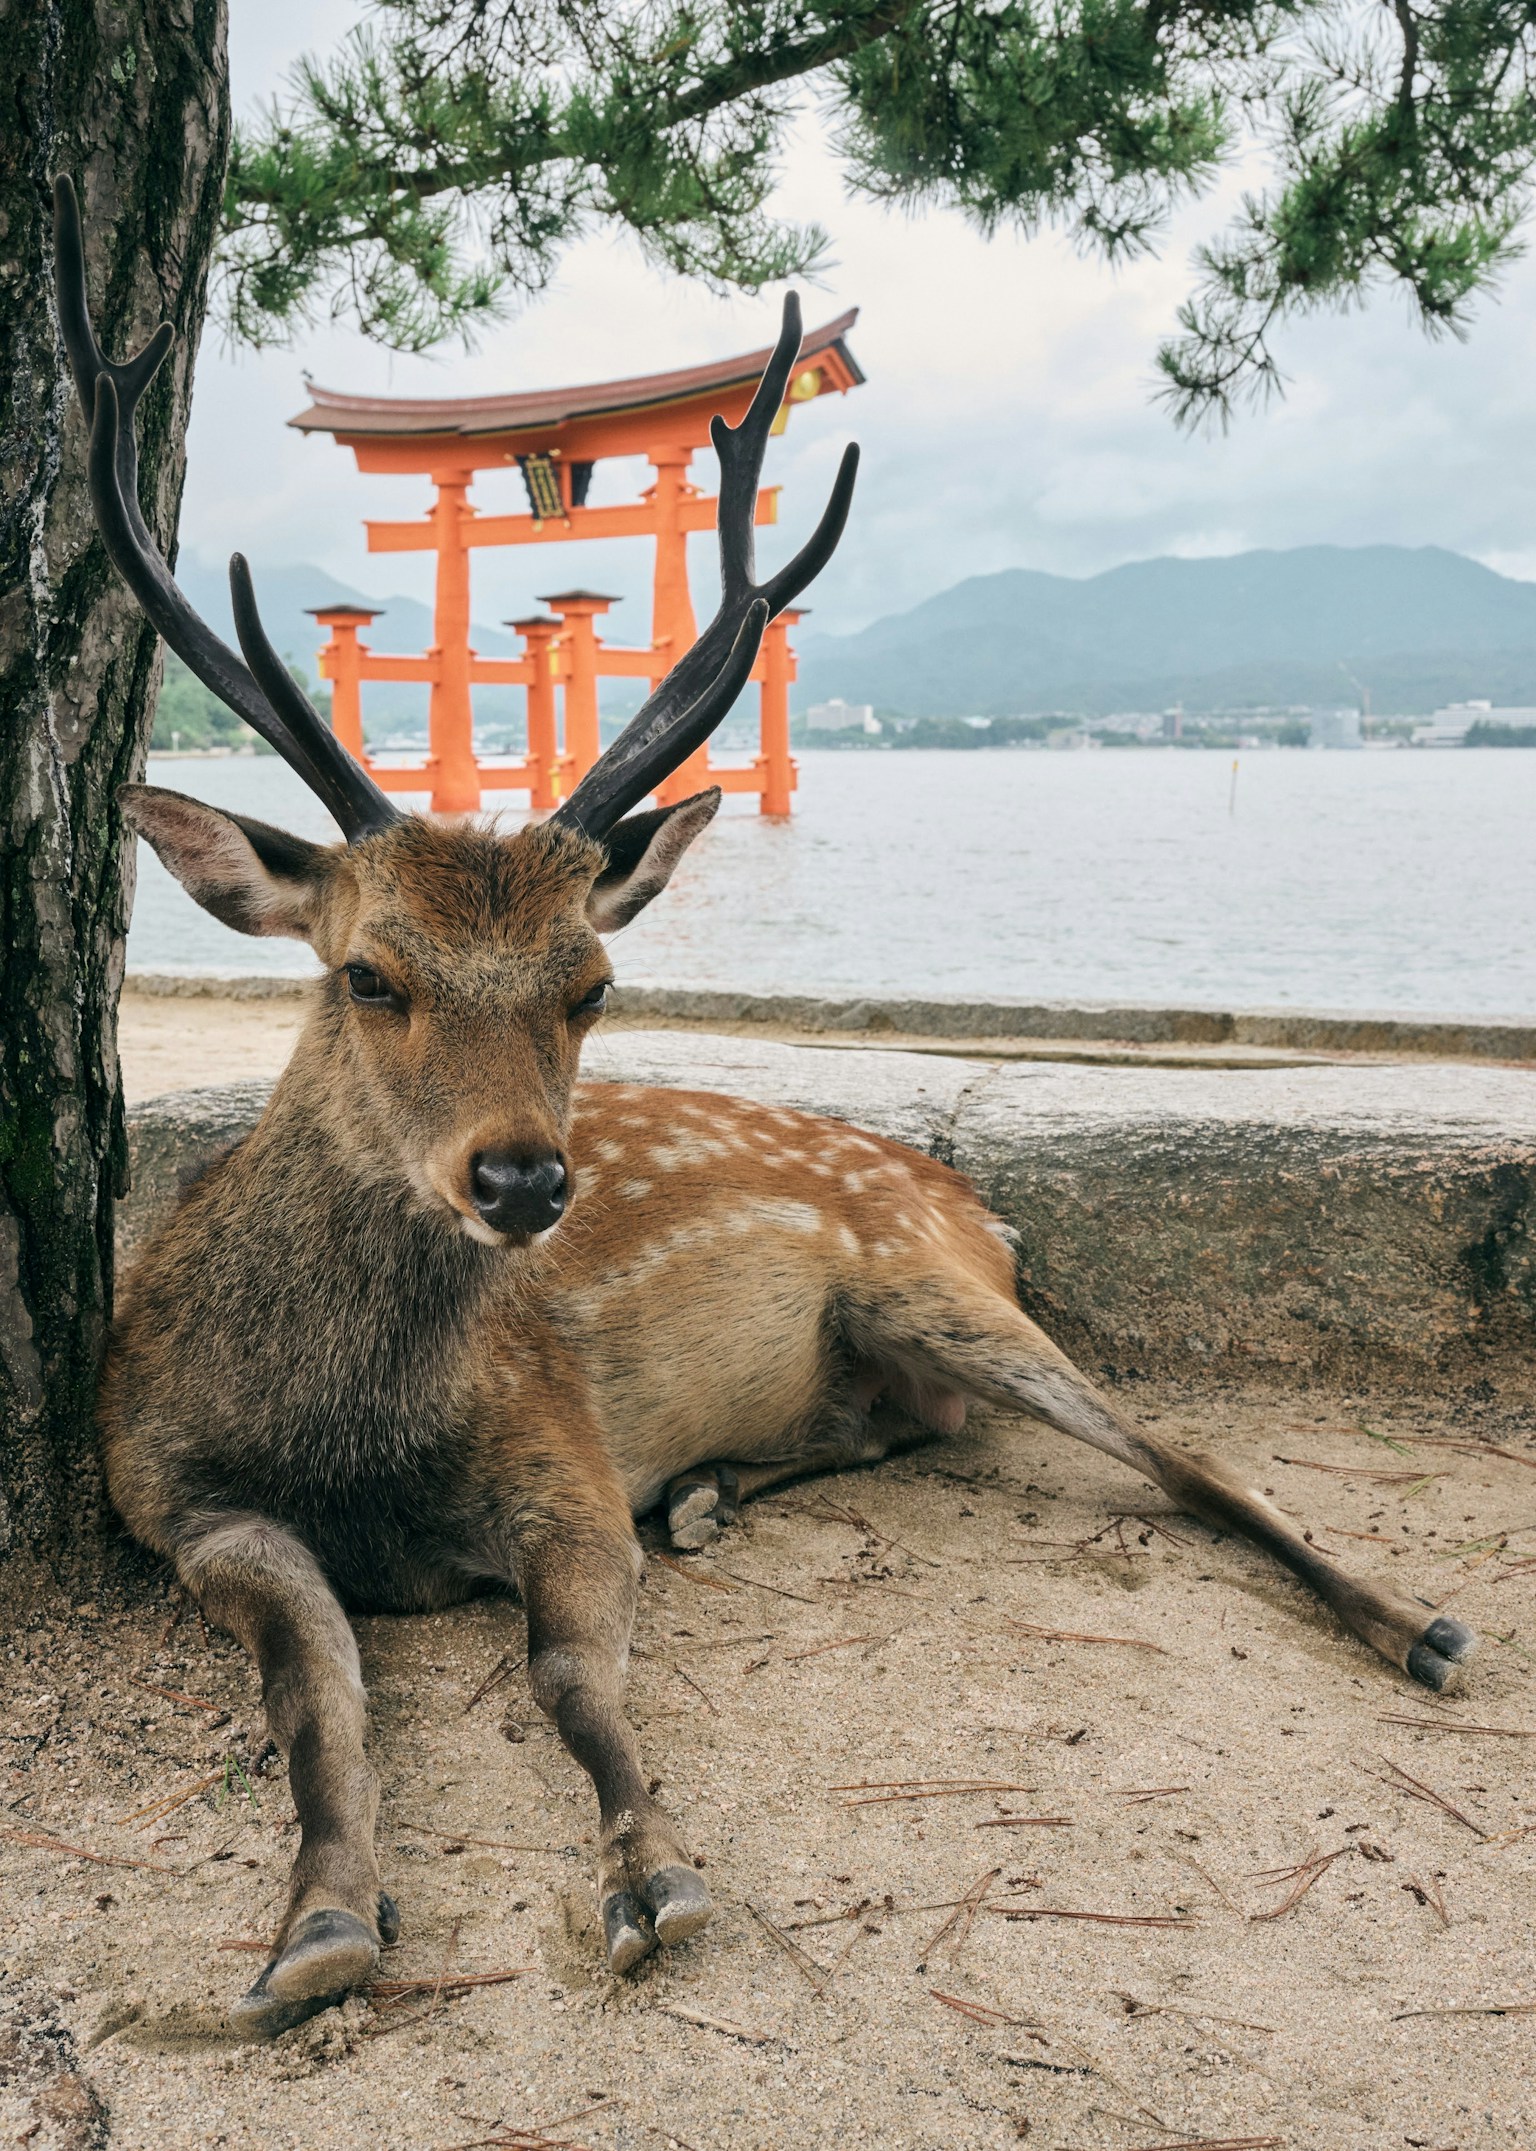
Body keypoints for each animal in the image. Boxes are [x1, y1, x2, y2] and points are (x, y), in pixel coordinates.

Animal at [51, 175, 1476, 2040]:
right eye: (369, 971)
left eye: (592, 982)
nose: (524, 1180)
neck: (346, 1428)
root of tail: (972, 1197)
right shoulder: (172, 1493)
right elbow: (320, 1697)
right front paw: (320, 1926)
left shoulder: (561, 1451)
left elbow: (567, 1672)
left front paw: (652, 1872)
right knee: (917, 1428)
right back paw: (722, 1489)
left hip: (929, 1280)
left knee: (1176, 1450)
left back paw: (1419, 1627)